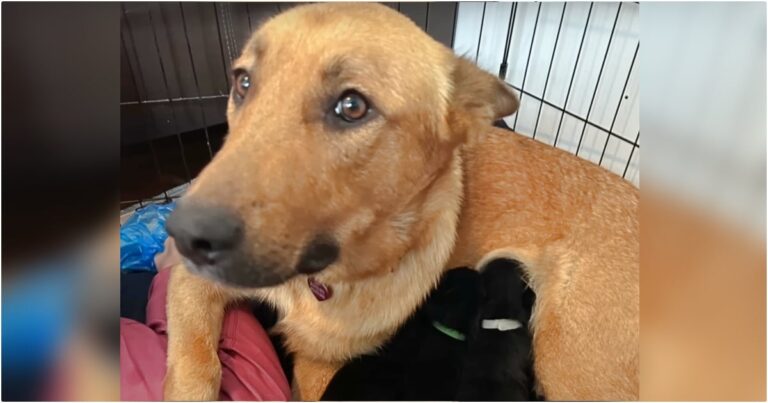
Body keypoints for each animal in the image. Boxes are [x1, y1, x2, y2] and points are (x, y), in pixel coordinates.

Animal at [165, 2, 640, 400]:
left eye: (352, 107)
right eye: (243, 83)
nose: (183, 235)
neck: (319, 281)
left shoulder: (322, 367)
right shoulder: (190, 285)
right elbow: (194, 367)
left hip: (571, 364)